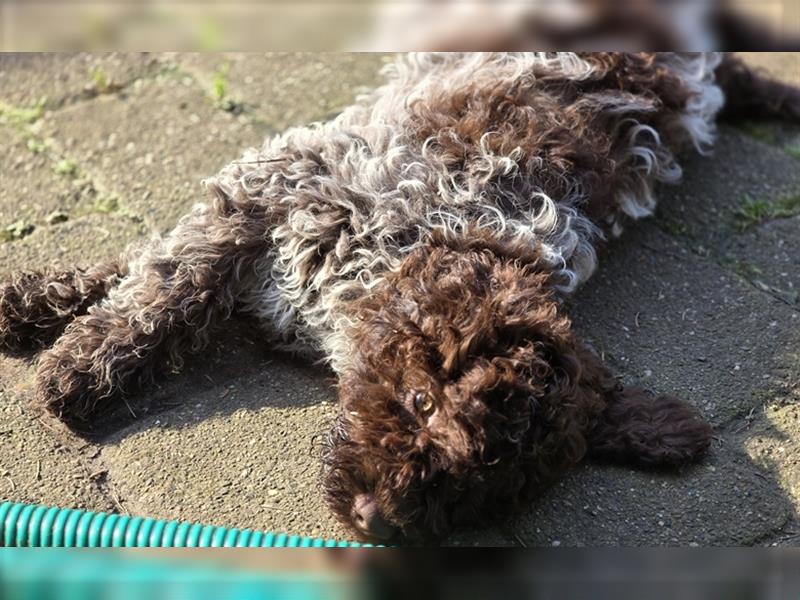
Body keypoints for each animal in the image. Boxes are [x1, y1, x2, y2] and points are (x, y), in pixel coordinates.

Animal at [1, 52, 800, 544]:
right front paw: (65, 345)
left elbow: (161, 272)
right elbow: (161, 275)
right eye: (420, 402)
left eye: (487, 490)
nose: (376, 521)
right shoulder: (278, 185)